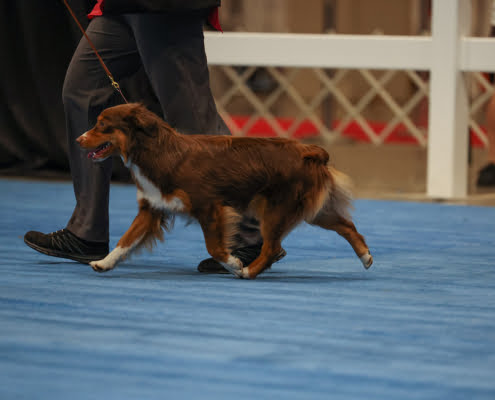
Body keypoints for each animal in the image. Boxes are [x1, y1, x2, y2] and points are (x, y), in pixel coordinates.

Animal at [76, 103, 372, 278]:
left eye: (102, 125)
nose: (78, 139)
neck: (158, 152)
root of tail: (309, 151)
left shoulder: (210, 207)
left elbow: (215, 247)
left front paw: (233, 263)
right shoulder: (152, 207)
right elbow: (126, 239)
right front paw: (104, 262)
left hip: (276, 210)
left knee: (272, 247)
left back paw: (248, 272)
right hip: (311, 209)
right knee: (347, 226)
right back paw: (366, 256)